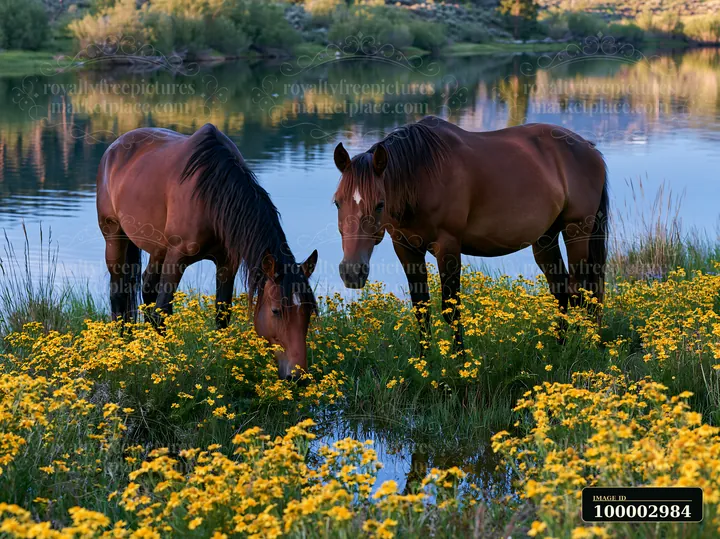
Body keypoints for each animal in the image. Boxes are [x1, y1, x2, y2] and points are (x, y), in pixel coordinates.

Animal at [96, 123, 318, 380]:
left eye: (309, 311)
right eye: (276, 311)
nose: (298, 376)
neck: (212, 195)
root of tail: (114, 148)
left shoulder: (227, 262)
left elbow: (222, 313)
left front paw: (224, 357)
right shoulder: (177, 257)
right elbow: (163, 309)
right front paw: (166, 361)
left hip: (157, 248)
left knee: (146, 287)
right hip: (114, 236)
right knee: (119, 294)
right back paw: (122, 346)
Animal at [332, 116, 608, 351]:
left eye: (379, 204)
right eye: (337, 202)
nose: (352, 272)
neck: (423, 174)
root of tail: (589, 148)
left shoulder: (448, 245)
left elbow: (451, 309)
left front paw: (460, 362)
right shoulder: (406, 246)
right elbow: (421, 309)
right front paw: (423, 363)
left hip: (576, 230)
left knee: (583, 292)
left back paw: (584, 347)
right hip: (545, 238)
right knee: (561, 290)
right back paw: (558, 346)